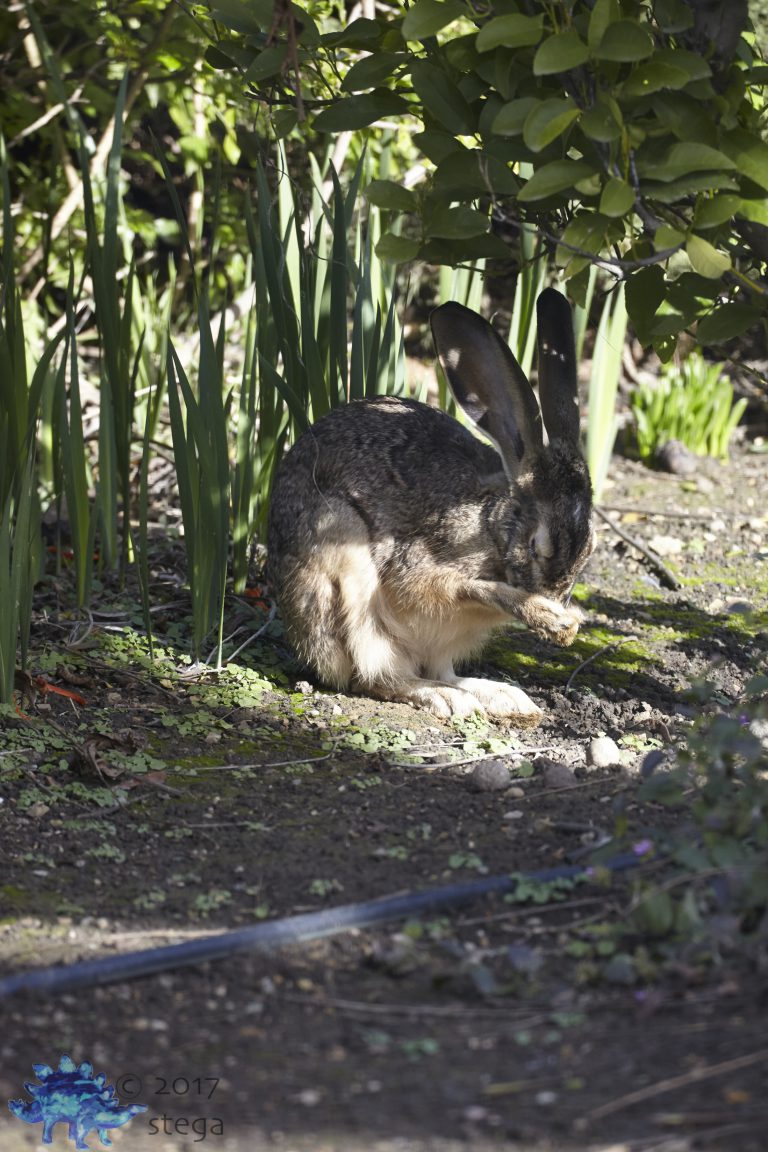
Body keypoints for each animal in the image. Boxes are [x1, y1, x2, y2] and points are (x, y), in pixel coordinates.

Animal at [267, 287, 595, 723]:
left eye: (589, 550)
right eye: (535, 546)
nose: (553, 596)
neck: (494, 527)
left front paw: (565, 622)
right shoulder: (421, 564)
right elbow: (454, 587)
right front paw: (547, 616)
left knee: (439, 671)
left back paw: (502, 697)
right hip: (340, 556)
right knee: (374, 676)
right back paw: (446, 698)